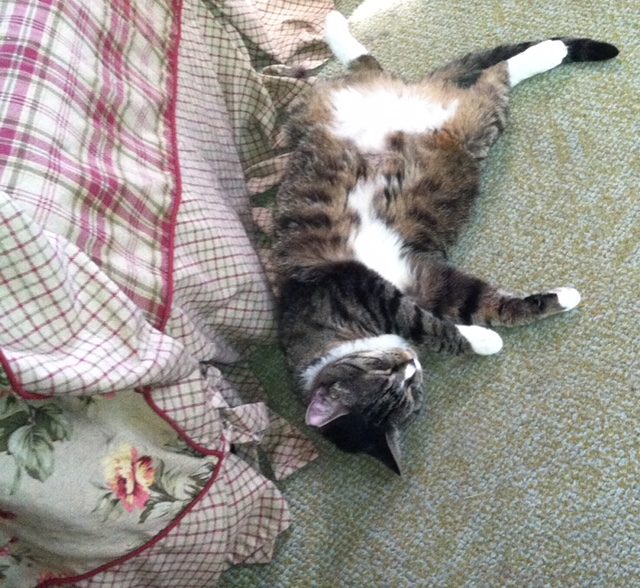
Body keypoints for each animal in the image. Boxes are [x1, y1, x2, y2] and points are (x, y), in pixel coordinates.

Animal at [272, 11, 616, 476]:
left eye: (385, 371)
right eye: (403, 388)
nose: (409, 363)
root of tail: (414, 92)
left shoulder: (366, 286)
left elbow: (438, 321)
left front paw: (500, 330)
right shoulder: (421, 279)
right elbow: (471, 310)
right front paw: (493, 335)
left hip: (450, 118)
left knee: (463, 70)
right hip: (471, 125)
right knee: (487, 79)